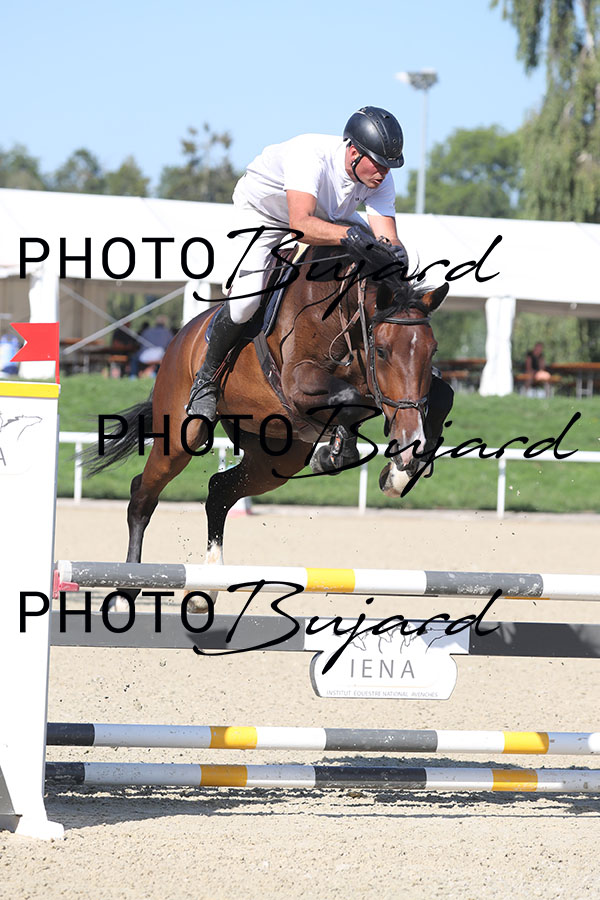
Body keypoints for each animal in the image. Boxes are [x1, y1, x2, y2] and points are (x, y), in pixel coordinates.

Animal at [87, 244, 453, 609]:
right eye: (383, 350)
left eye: (432, 350)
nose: (410, 437)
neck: (345, 316)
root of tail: (180, 338)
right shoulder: (298, 382)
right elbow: (347, 398)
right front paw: (338, 453)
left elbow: (441, 394)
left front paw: (401, 470)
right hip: (180, 437)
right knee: (142, 496)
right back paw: (125, 593)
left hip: (275, 459)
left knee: (219, 490)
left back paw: (206, 586)